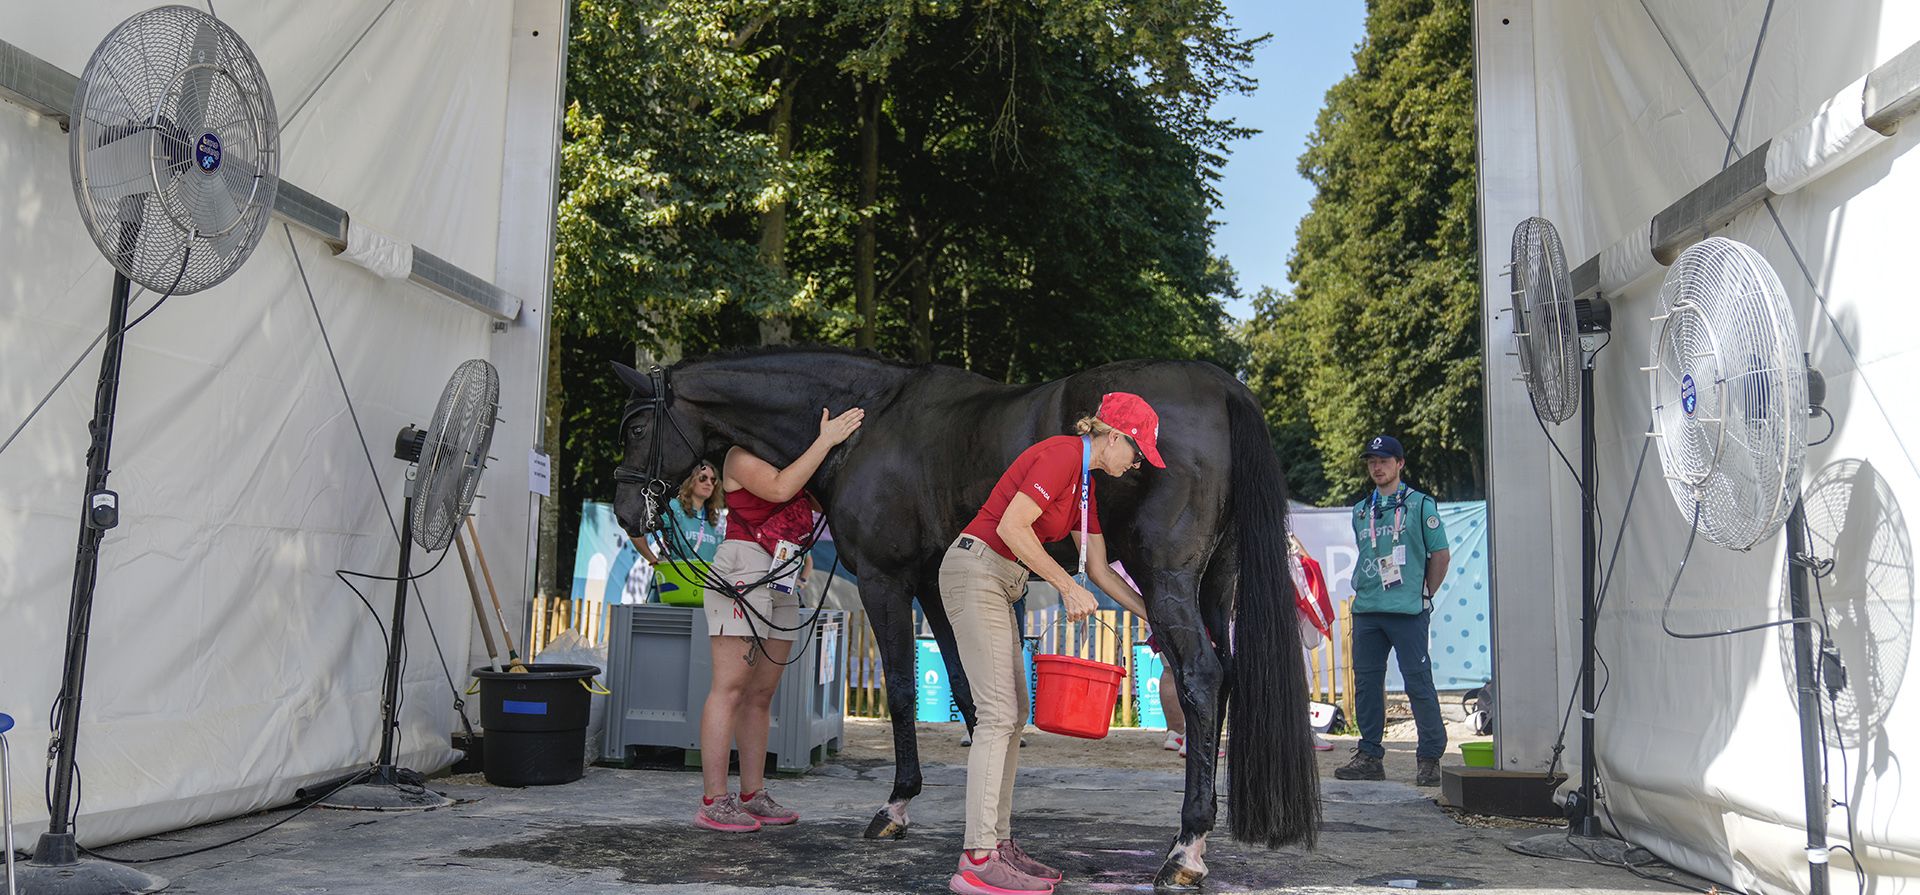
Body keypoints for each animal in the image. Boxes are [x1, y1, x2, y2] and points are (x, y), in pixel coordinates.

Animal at [609, 347, 1319, 889]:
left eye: (637, 429)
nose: (624, 511)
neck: (869, 423)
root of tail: (1224, 387)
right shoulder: (936, 584)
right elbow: (974, 699)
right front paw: (993, 823)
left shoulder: (886, 580)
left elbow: (901, 690)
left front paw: (896, 807)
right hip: (1215, 582)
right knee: (1225, 677)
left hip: (1168, 578)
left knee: (1201, 677)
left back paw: (1185, 848)